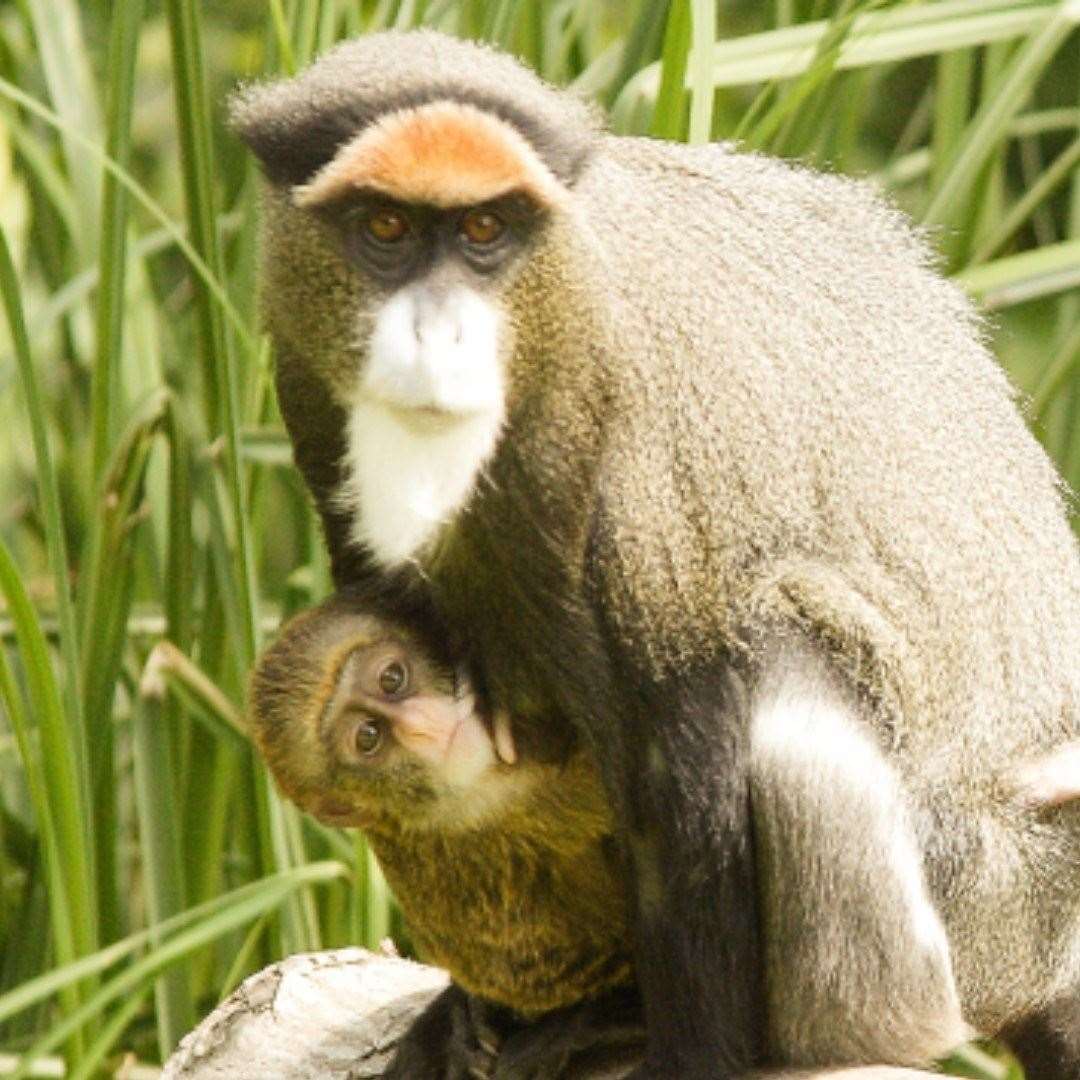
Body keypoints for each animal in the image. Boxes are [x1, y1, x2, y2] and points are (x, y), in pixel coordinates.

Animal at [227, 31, 1080, 1080]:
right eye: (384, 226)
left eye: (484, 231)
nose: (438, 330)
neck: (555, 315)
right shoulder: (303, 380)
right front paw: (469, 1006)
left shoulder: (634, 470)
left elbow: (678, 772)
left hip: (981, 901)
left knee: (777, 645)